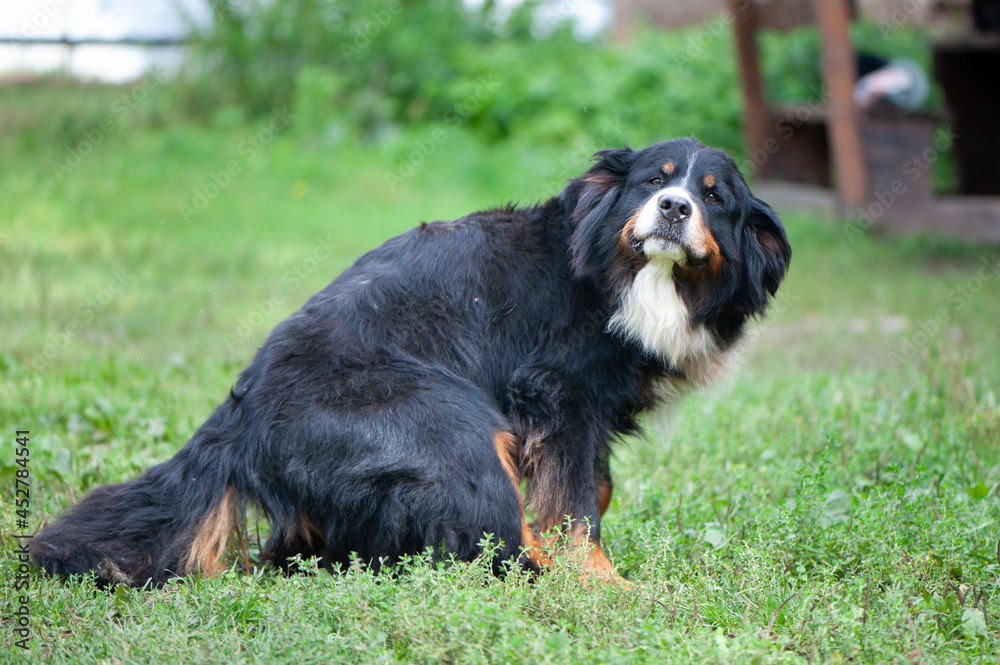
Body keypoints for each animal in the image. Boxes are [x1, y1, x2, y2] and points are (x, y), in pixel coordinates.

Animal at [31, 136, 792, 588]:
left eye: (715, 196)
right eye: (649, 183)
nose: (674, 207)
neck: (632, 278)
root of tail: (238, 420)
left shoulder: (591, 408)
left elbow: (592, 486)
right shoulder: (556, 388)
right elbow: (576, 502)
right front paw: (604, 585)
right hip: (427, 420)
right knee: (484, 523)